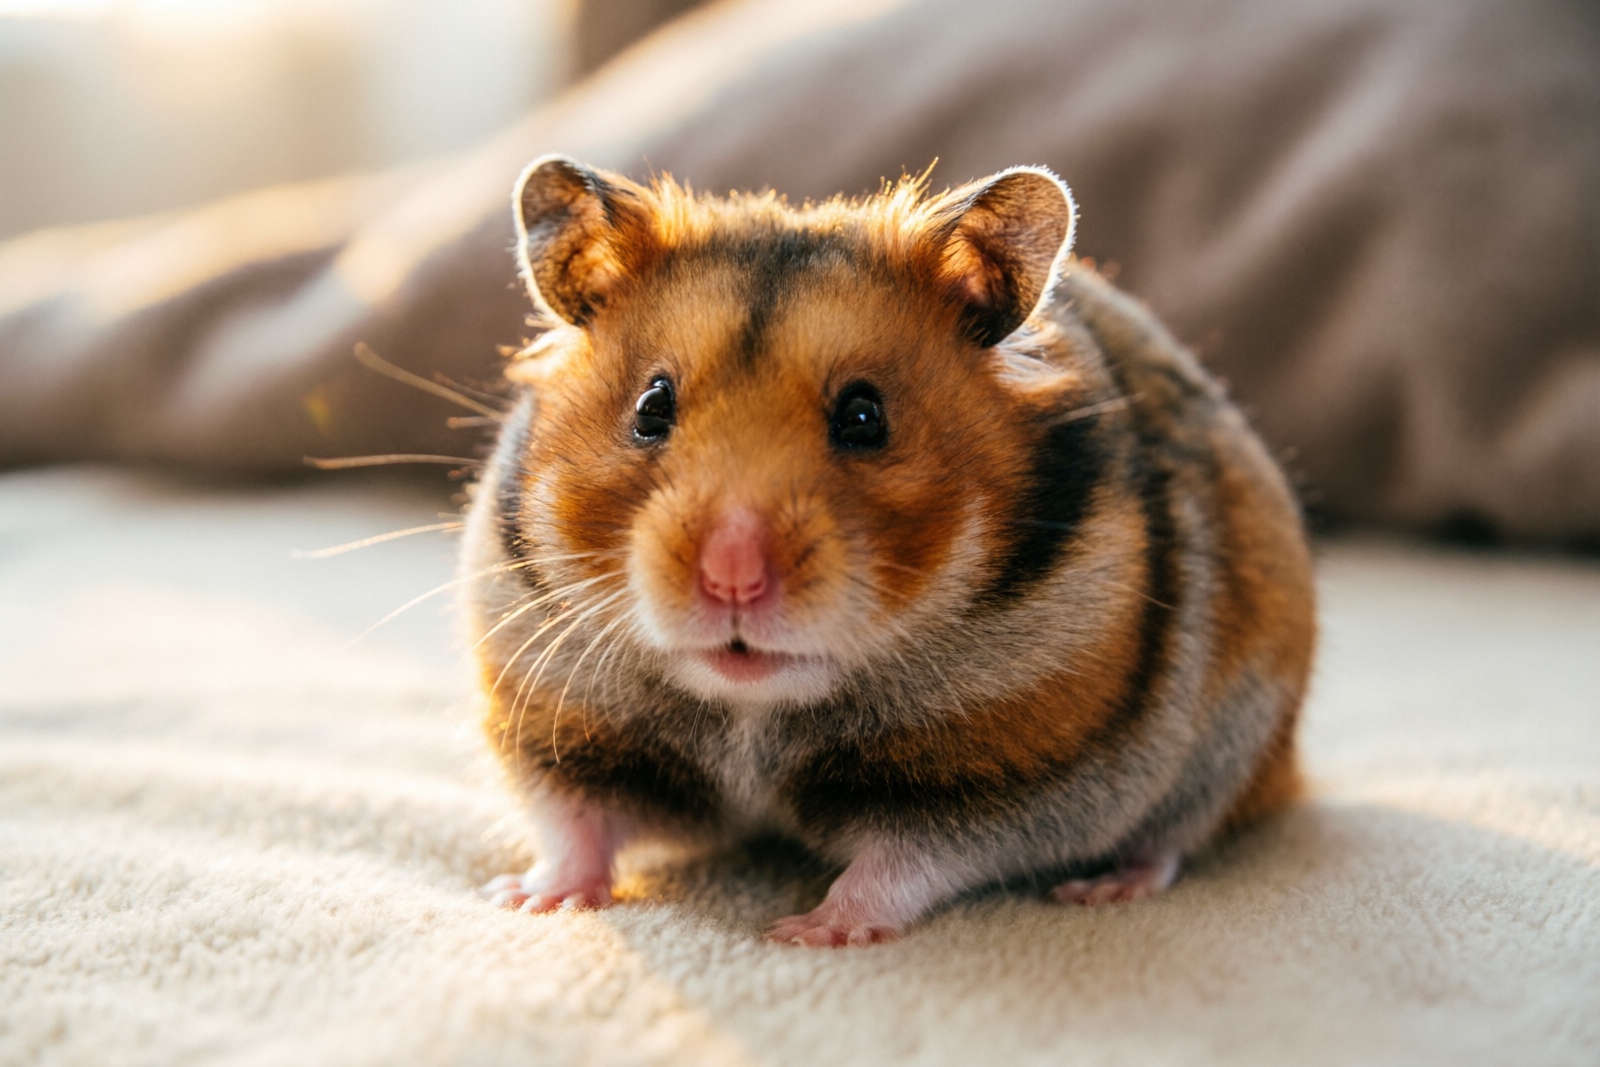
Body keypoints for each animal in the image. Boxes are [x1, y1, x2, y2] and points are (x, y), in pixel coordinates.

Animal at [465, 155, 1316, 946]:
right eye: (651, 406)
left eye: (865, 417)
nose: (732, 578)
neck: (755, 710)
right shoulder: (558, 727)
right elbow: (575, 825)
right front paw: (526, 899)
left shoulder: (1004, 777)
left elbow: (902, 863)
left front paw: (805, 932)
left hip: (1233, 739)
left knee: (1176, 837)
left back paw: (1105, 888)